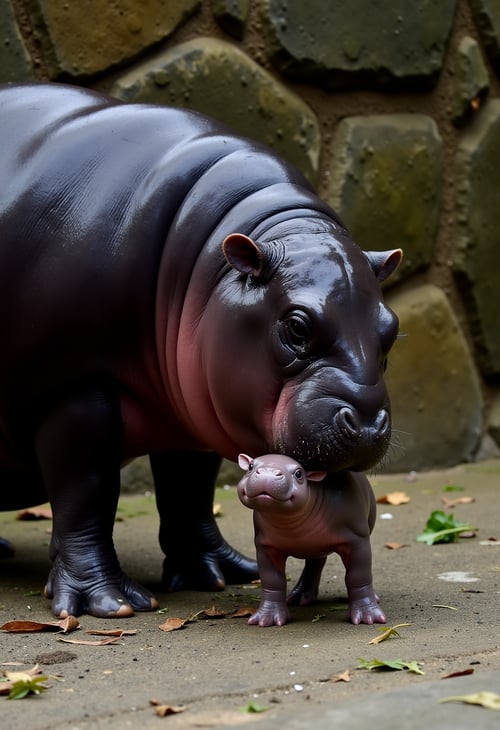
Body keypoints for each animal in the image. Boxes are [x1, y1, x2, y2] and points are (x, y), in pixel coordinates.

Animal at [237, 453, 385, 627]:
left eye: (299, 473)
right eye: (250, 467)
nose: (268, 473)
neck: (289, 521)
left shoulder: (357, 539)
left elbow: (358, 576)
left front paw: (368, 617)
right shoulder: (266, 546)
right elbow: (272, 580)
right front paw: (266, 618)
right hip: (314, 546)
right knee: (314, 565)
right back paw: (298, 598)